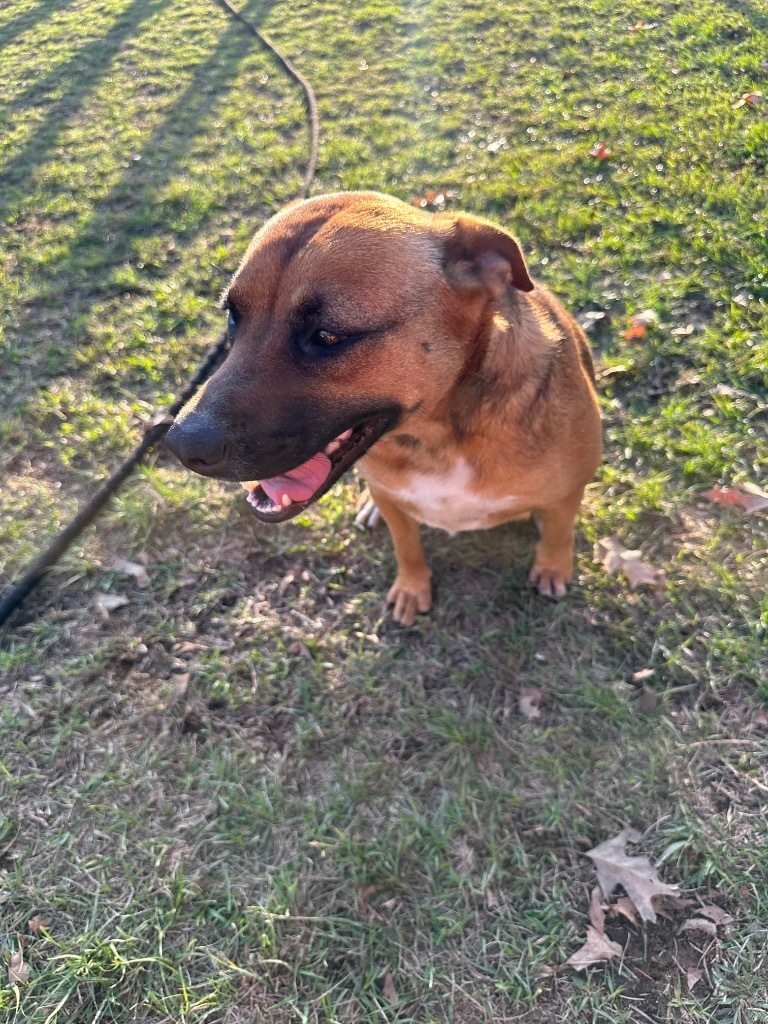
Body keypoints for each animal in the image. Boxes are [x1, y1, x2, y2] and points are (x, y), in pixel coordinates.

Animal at [166, 192, 602, 622]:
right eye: (232, 317)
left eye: (327, 335)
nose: (183, 446)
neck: (441, 437)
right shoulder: (396, 504)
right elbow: (406, 546)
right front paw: (412, 587)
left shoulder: (567, 494)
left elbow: (559, 533)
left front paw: (553, 568)